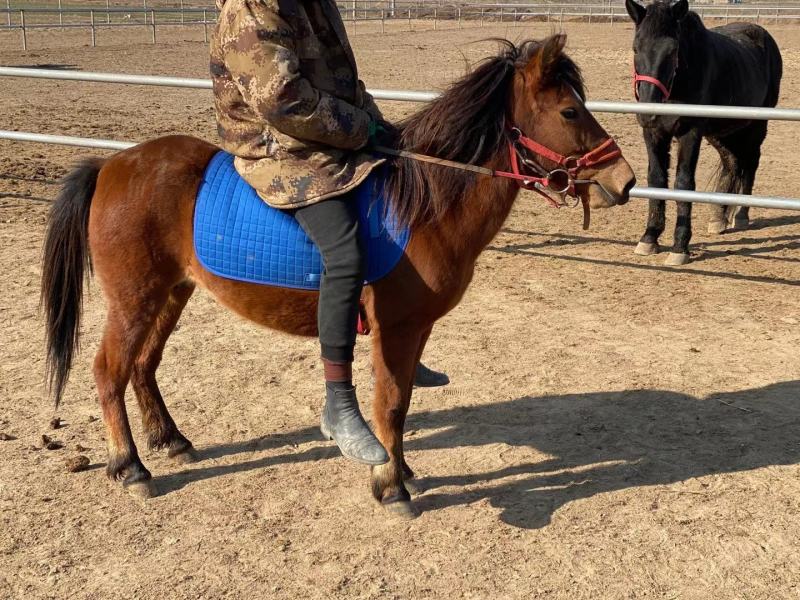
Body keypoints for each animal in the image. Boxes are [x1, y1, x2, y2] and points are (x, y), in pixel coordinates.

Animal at [40, 34, 635, 518]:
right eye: (570, 110)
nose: (625, 181)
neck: (421, 208)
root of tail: (112, 165)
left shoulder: (416, 330)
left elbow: (402, 402)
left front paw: (400, 469)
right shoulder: (396, 329)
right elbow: (389, 405)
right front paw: (390, 485)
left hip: (172, 292)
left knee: (144, 365)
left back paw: (171, 440)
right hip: (134, 298)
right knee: (109, 371)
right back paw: (130, 466)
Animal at [625, 0, 782, 265]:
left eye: (672, 50)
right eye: (636, 48)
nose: (647, 113)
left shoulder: (690, 133)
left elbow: (683, 182)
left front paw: (680, 247)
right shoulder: (654, 133)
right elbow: (656, 179)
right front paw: (649, 237)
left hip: (756, 125)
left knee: (751, 163)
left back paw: (741, 215)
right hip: (721, 131)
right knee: (732, 162)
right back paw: (719, 217)